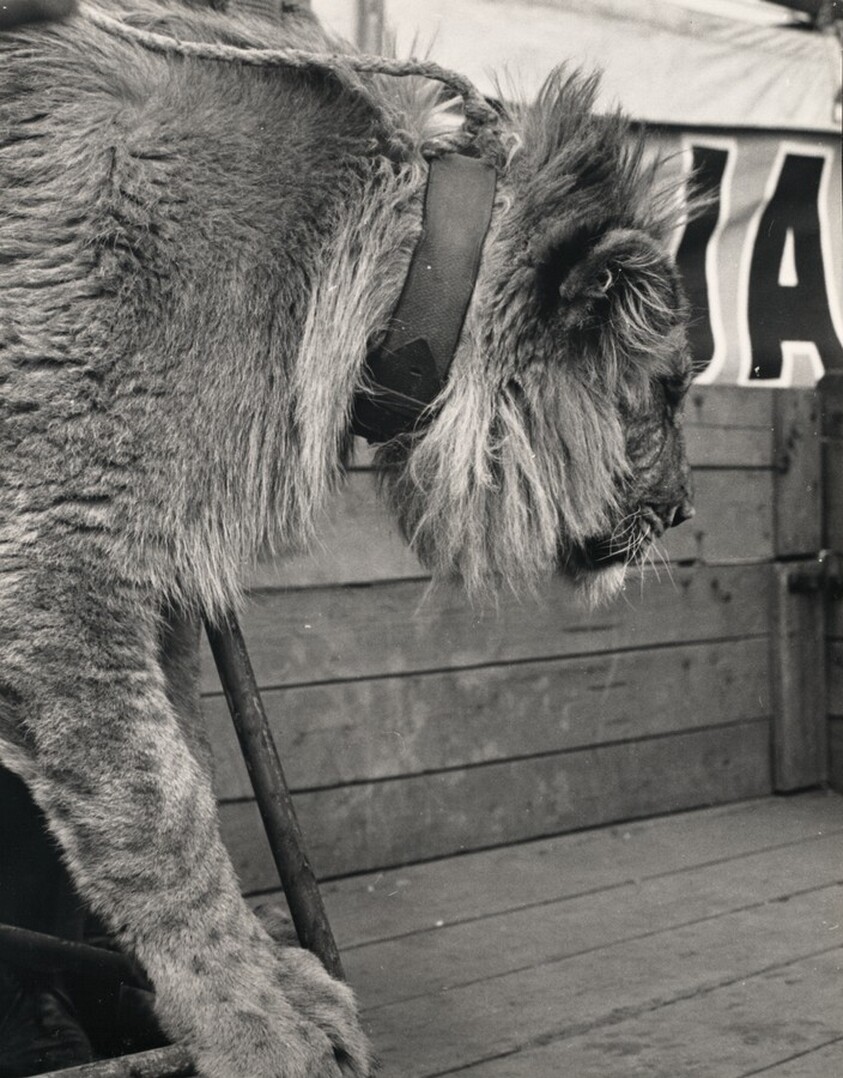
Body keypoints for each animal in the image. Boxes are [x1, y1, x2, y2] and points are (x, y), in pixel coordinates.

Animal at [0, 1, 694, 1075]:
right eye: (669, 391)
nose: (686, 508)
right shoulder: (54, 555)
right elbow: (157, 809)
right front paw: (254, 1026)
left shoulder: (159, 571)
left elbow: (193, 758)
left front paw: (274, 987)